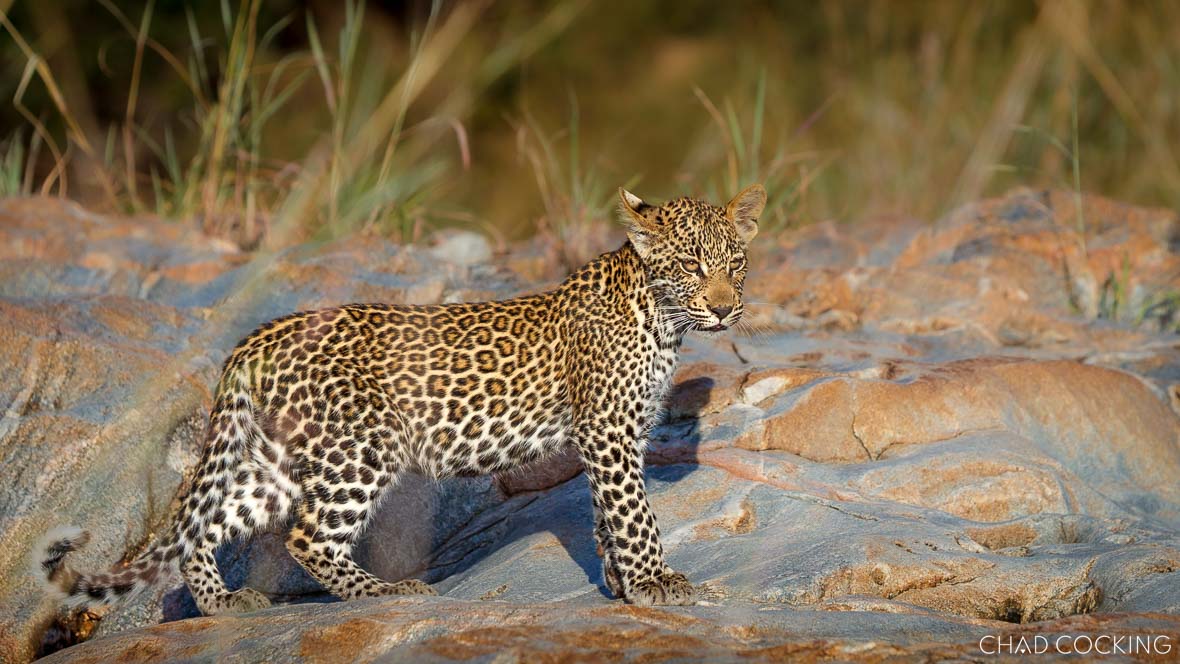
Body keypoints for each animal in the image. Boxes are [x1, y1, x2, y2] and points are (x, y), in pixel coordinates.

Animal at [36, 183, 766, 616]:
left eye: (737, 264)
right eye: (693, 266)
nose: (726, 308)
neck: (663, 318)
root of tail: (259, 337)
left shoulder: (615, 434)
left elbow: (607, 514)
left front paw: (622, 584)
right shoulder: (608, 430)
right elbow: (634, 513)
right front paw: (656, 582)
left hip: (283, 458)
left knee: (209, 518)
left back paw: (222, 603)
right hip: (361, 449)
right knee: (306, 535)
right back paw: (383, 591)